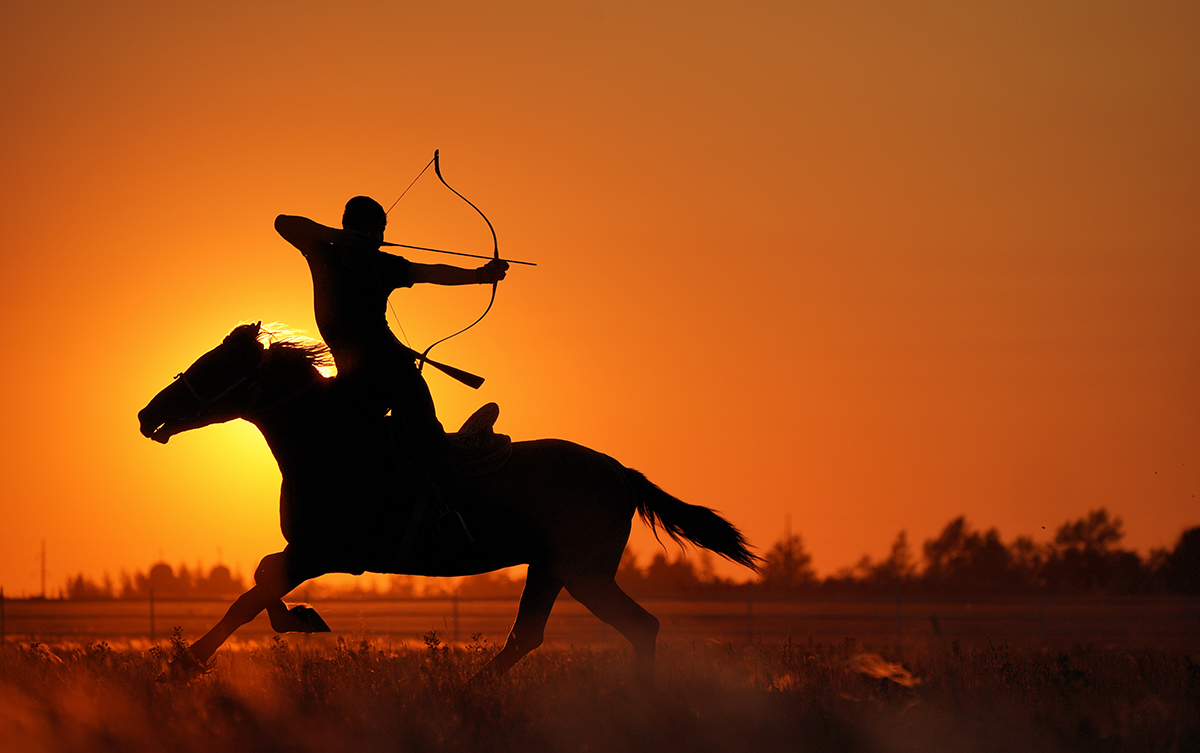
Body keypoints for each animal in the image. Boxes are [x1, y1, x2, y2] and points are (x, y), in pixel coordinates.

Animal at [138, 321, 758, 681]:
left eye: (213, 366)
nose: (148, 413)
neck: (337, 446)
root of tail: (618, 473)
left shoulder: (327, 551)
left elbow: (254, 591)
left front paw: (187, 662)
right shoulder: (312, 551)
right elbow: (261, 579)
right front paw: (301, 619)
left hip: (580, 571)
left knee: (635, 627)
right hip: (553, 569)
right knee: (538, 635)